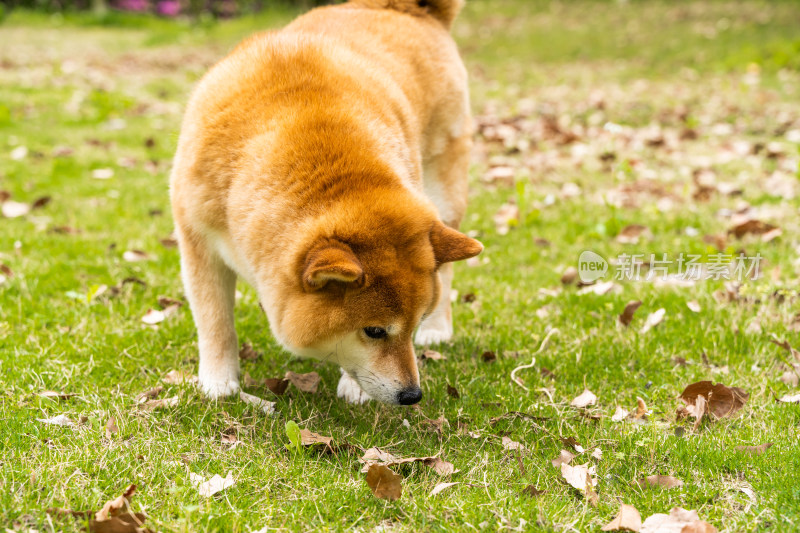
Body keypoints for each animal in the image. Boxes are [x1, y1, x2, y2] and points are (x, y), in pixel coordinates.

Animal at [170, 0, 482, 404]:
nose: (412, 395)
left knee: (445, 270)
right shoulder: (198, 241)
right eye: (375, 331)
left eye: (415, 322)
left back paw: (440, 329)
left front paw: (353, 387)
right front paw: (219, 383)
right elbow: (215, 321)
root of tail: (410, 11)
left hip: (443, 196)